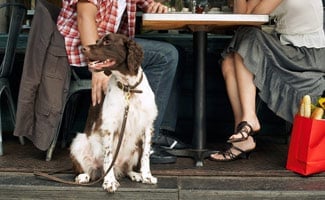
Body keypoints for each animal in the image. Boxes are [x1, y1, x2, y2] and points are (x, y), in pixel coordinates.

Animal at [70, 32, 158, 192]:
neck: (129, 88)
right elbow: (108, 156)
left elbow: (146, 155)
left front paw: (147, 176)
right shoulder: (108, 127)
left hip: (136, 147)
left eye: (107, 41)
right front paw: (109, 181)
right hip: (79, 142)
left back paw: (135, 174)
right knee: (88, 169)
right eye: (97, 40)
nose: (82, 48)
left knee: (127, 168)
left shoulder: (148, 126)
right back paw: (84, 176)